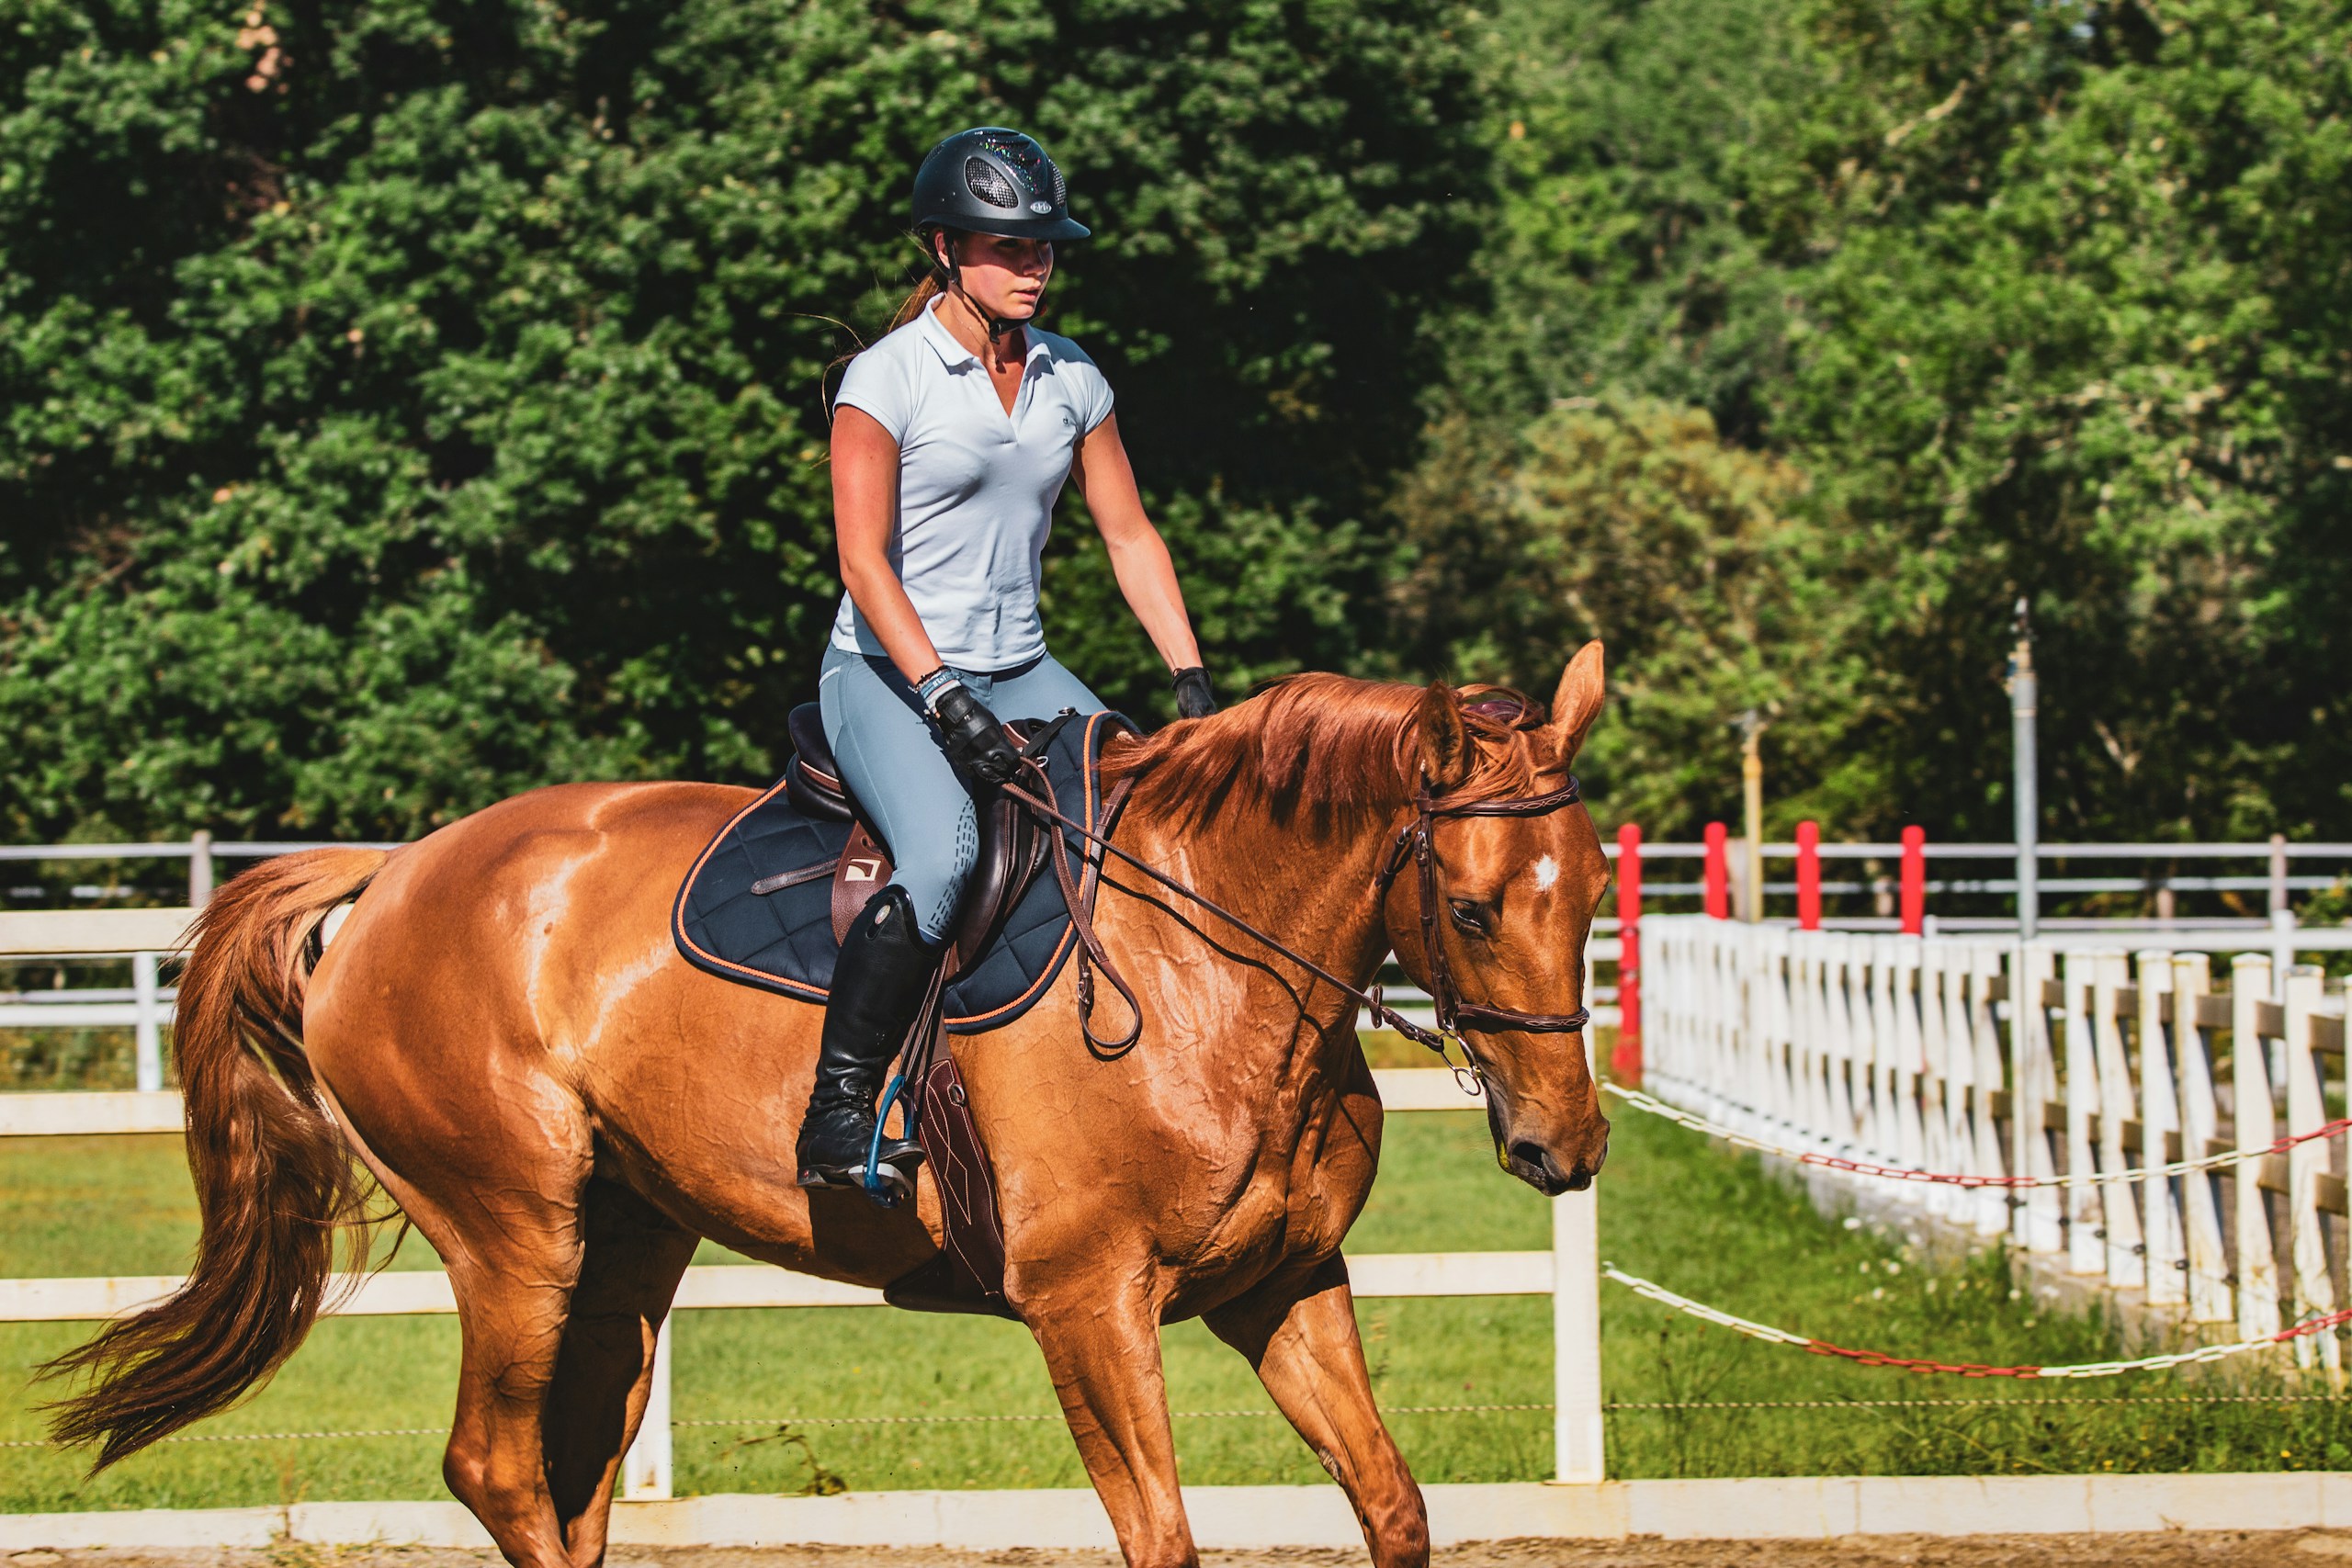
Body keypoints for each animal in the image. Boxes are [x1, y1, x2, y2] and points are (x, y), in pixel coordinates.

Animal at [45, 649, 1618, 1568]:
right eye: (1474, 909)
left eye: (1599, 884)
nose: (1568, 1144)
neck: (1205, 963)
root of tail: (393, 871)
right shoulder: (1088, 1302)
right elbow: (1160, 1530)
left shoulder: (1283, 1282)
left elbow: (1394, 1503)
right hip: (513, 1233)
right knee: (497, 1466)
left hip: (623, 1246)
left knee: (575, 1465)